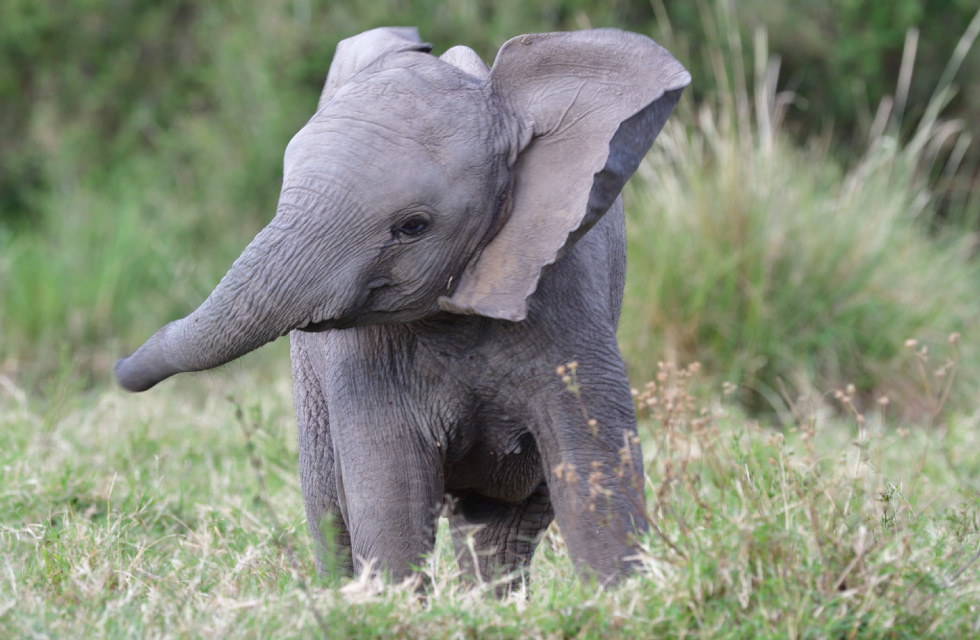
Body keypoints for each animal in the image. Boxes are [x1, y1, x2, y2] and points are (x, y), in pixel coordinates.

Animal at [117, 28, 688, 592]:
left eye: (412, 227)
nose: (122, 372)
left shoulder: (563, 289)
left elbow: (592, 461)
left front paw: (622, 598)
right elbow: (391, 484)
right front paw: (388, 604)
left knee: (506, 521)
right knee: (330, 507)